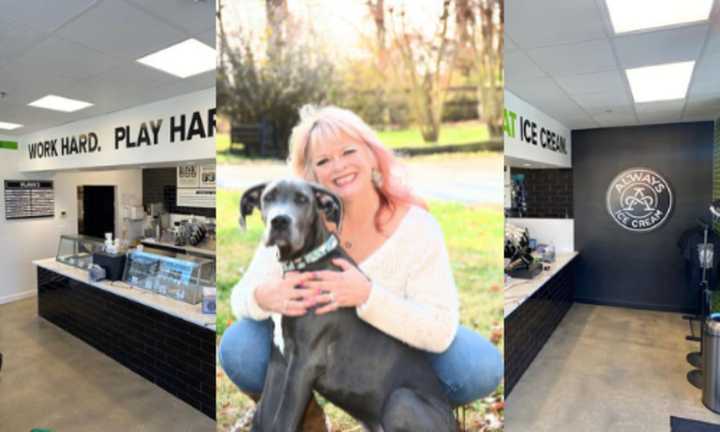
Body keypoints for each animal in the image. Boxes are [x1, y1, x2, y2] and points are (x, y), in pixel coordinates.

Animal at [242, 177, 456, 430]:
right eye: (268, 198)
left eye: (302, 199)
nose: (280, 221)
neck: (306, 260)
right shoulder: (279, 361)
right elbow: (264, 417)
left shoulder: (304, 362)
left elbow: (283, 420)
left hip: (401, 401)